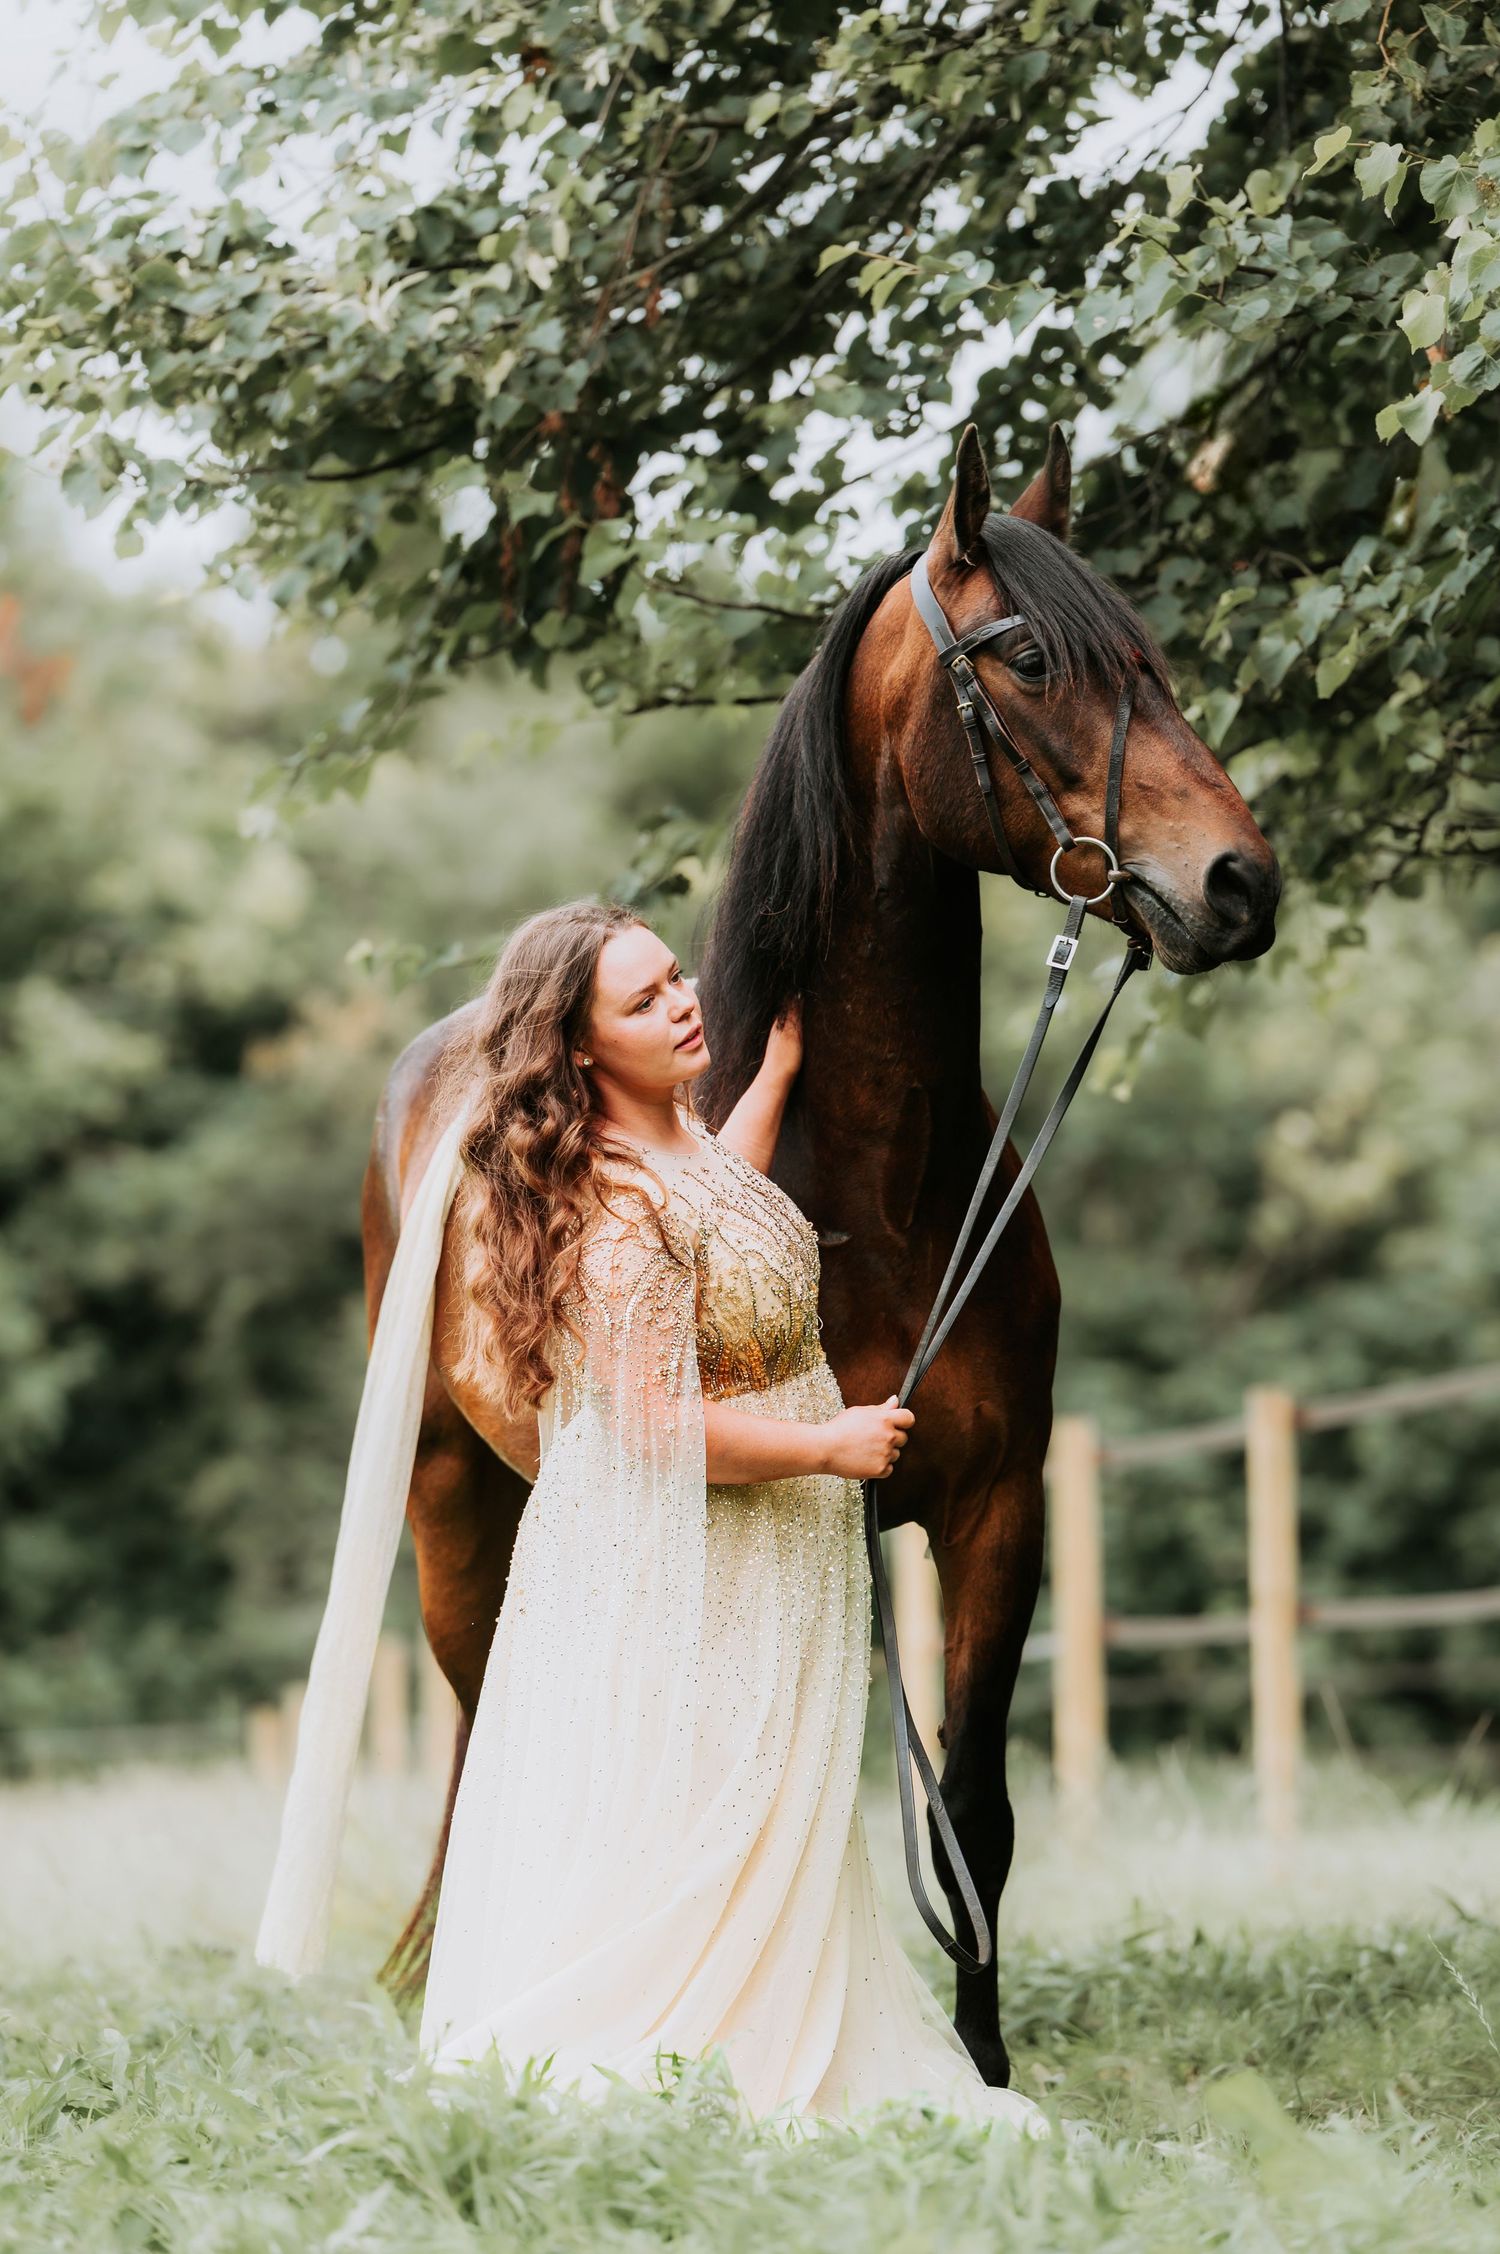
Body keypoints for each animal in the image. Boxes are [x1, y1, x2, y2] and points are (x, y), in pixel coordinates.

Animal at [368, 425, 1281, 2086]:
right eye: (1035, 657)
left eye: (1153, 658)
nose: (1240, 883)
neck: (888, 1185)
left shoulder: (997, 1512)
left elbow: (973, 1818)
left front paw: (984, 2069)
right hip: (454, 1509)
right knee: (483, 1739)